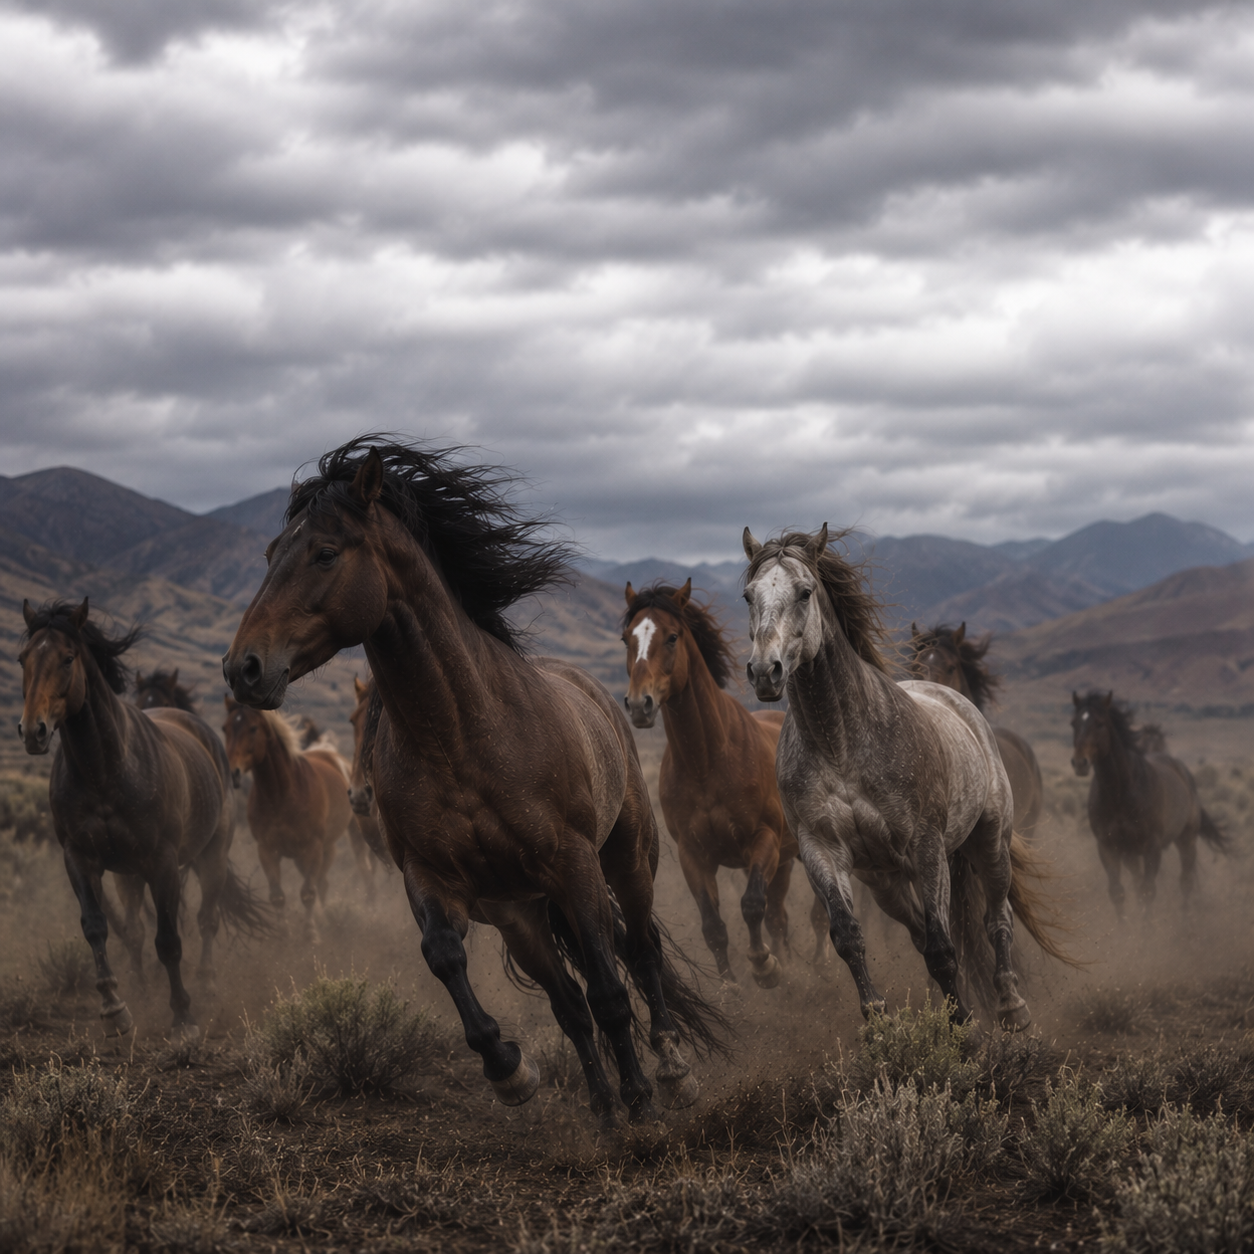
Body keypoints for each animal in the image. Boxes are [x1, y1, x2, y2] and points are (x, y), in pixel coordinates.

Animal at [18, 598, 266, 1040]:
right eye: (22, 659)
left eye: (68, 658)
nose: (33, 731)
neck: (103, 771)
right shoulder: (80, 858)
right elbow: (97, 926)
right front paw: (116, 1007)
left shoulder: (162, 863)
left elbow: (168, 939)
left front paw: (183, 1015)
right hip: (129, 873)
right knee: (137, 929)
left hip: (212, 857)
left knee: (207, 920)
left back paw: (206, 983)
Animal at [221, 699, 356, 933]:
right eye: (225, 728)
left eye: (253, 728)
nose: (233, 772)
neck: (282, 795)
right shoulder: (267, 850)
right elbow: (277, 896)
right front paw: (282, 933)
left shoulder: (312, 848)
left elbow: (308, 893)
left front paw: (311, 933)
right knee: (322, 883)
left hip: (338, 842)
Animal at [622, 579, 827, 986]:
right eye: (626, 638)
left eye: (672, 637)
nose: (639, 705)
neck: (707, 764)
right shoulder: (693, 855)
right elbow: (713, 926)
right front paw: (731, 986)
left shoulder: (763, 841)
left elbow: (751, 905)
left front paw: (764, 966)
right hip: (784, 861)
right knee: (780, 916)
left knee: (818, 914)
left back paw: (819, 966)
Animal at [1070, 692, 1227, 917]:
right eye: (1073, 723)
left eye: (1100, 723)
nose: (1079, 762)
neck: (1120, 793)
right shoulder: (1108, 847)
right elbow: (1118, 892)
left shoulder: (1152, 847)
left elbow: (1148, 891)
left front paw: (1147, 927)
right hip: (1131, 854)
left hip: (1186, 840)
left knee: (1186, 882)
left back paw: (1185, 918)